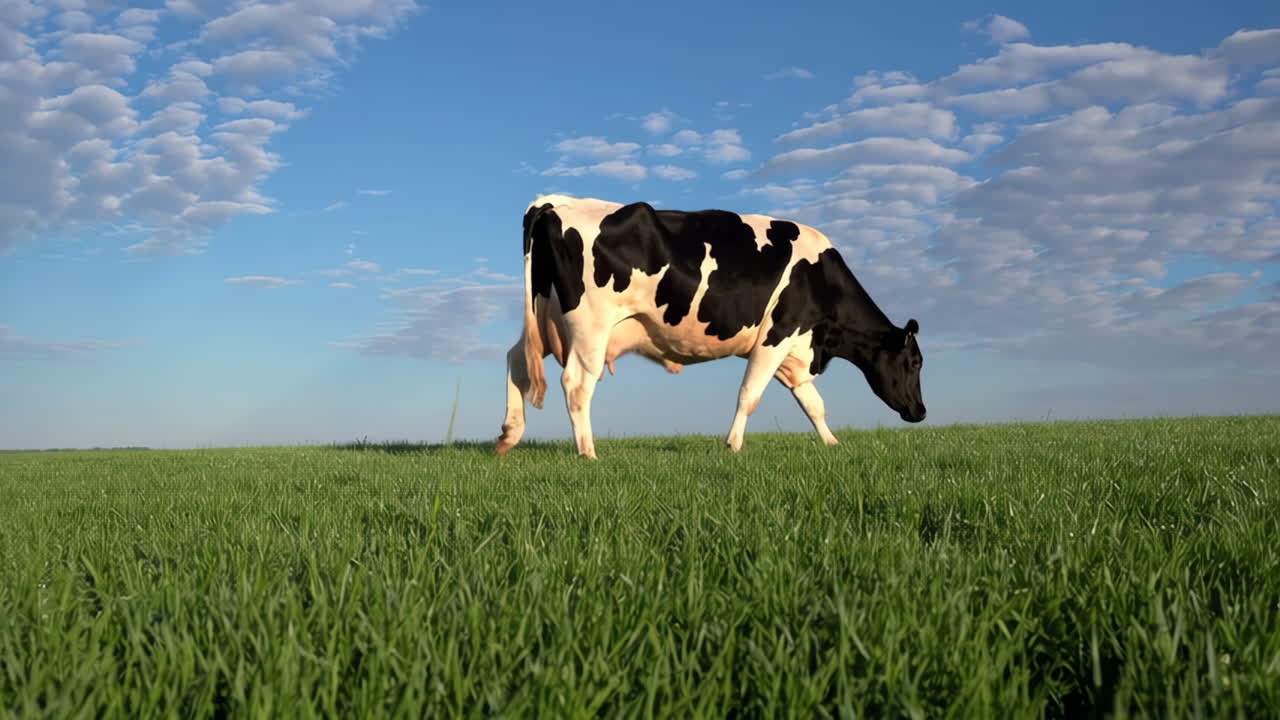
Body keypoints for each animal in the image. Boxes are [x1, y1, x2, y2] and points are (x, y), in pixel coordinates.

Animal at [496, 194, 926, 459]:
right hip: (590, 325)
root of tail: (555, 202)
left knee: (516, 361)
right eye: (915, 362)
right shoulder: (777, 333)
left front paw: (832, 443)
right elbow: (750, 394)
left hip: (544, 317)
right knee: (576, 384)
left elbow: (813, 404)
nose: (920, 412)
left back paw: (509, 435)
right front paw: (732, 444)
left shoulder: (796, 351)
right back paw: (588, 451)